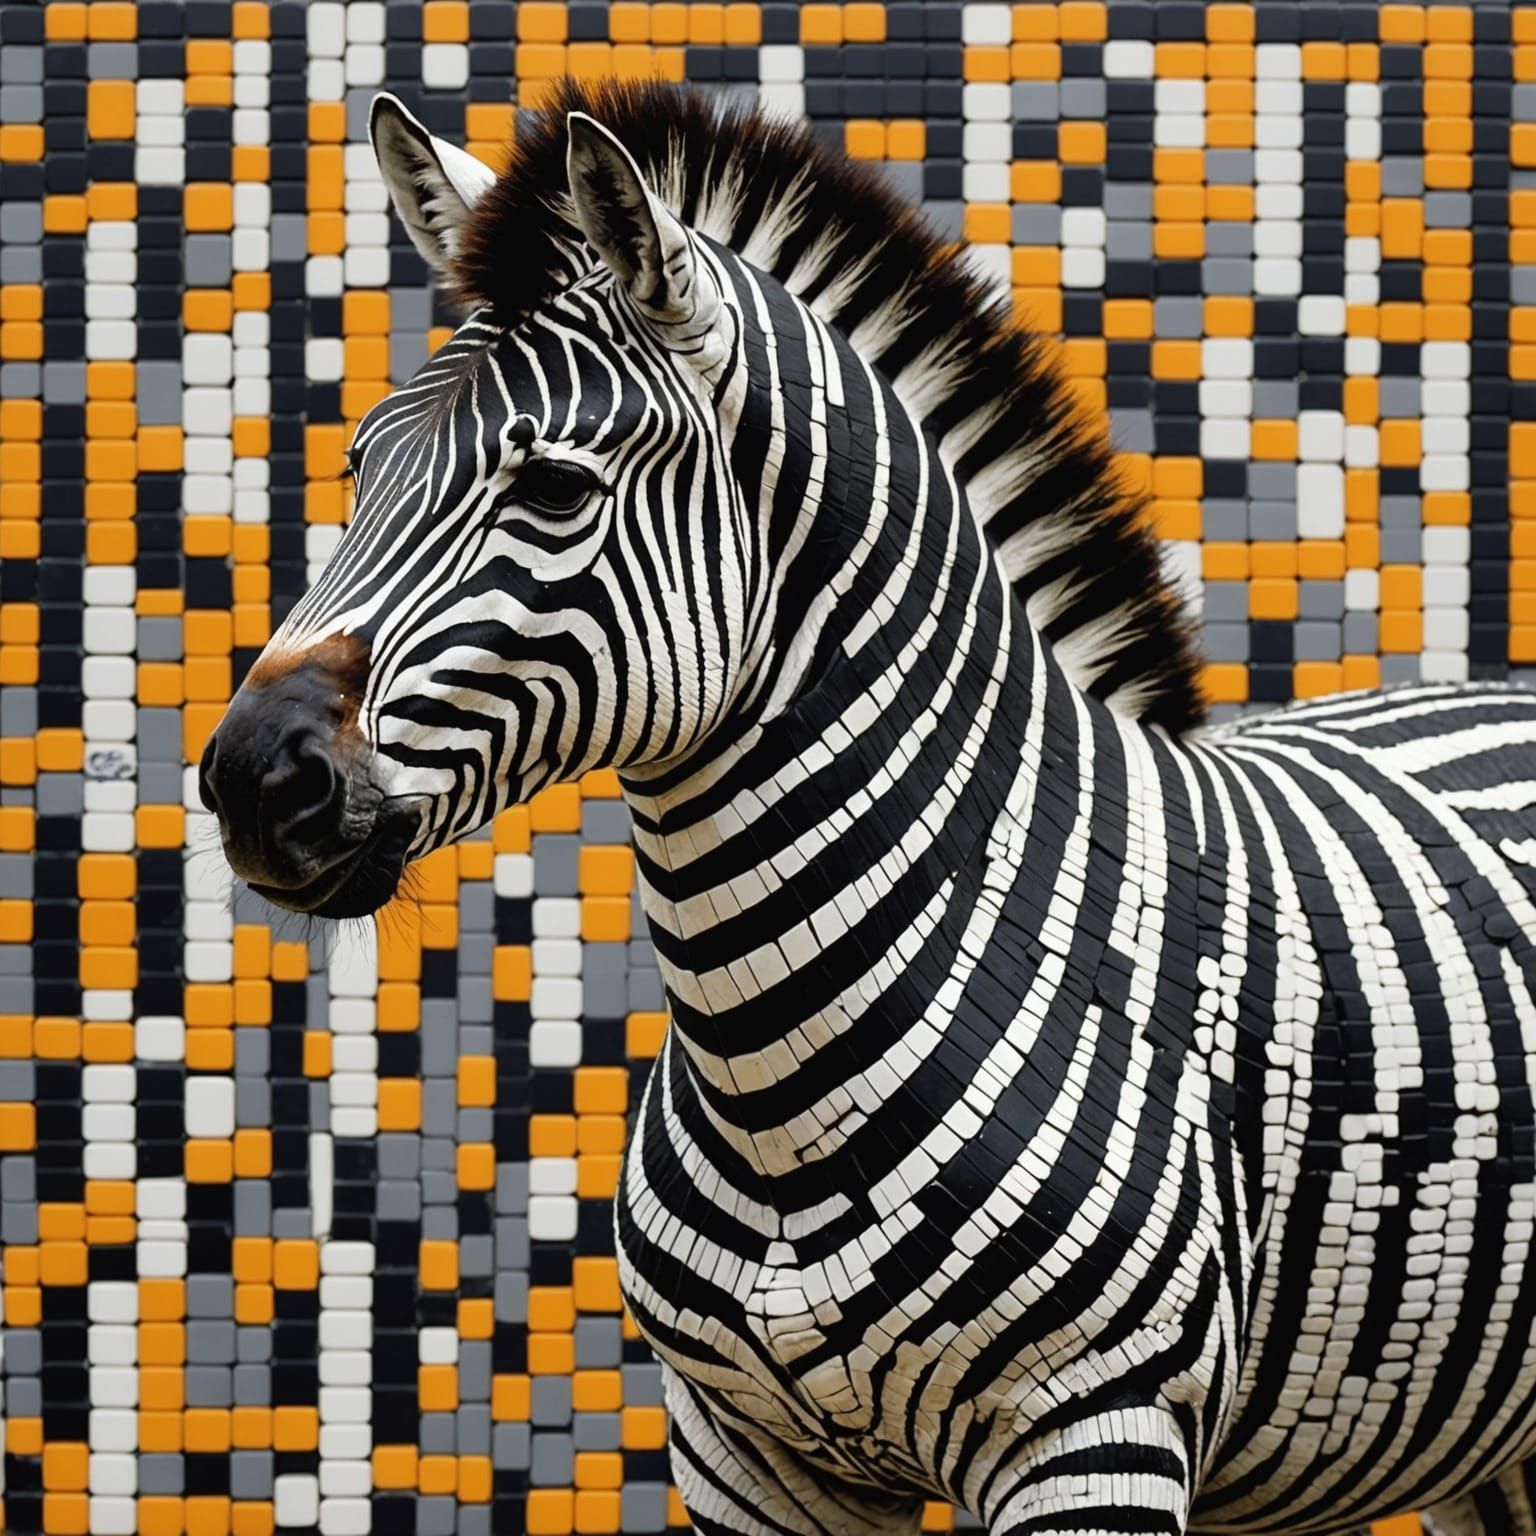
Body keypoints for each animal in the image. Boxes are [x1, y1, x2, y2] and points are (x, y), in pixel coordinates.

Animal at [199, 80, 1536, 1535]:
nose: (249, 779)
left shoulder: (1099, 1434)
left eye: (553, 486)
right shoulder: (741, 1453)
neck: (772, 1080)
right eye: (361, 468)